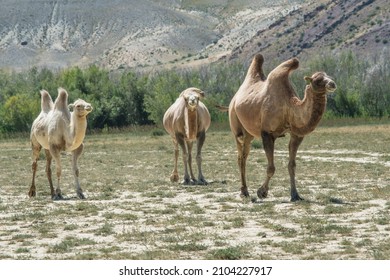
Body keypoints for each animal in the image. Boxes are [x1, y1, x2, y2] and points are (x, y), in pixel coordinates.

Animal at [229, 53, 336, 201]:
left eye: (329, 76)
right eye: (318, 80)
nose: (332, 84)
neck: (289, 107)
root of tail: (235, 97)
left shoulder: (296, 134)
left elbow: (292, 165)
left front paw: (295, 194)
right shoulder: (267, 133)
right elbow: (271, 168)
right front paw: (262, 192)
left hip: (249, 134)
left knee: (244, 155)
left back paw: (245, 190)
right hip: (235, 125)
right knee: (240, 157)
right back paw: (244, 192)